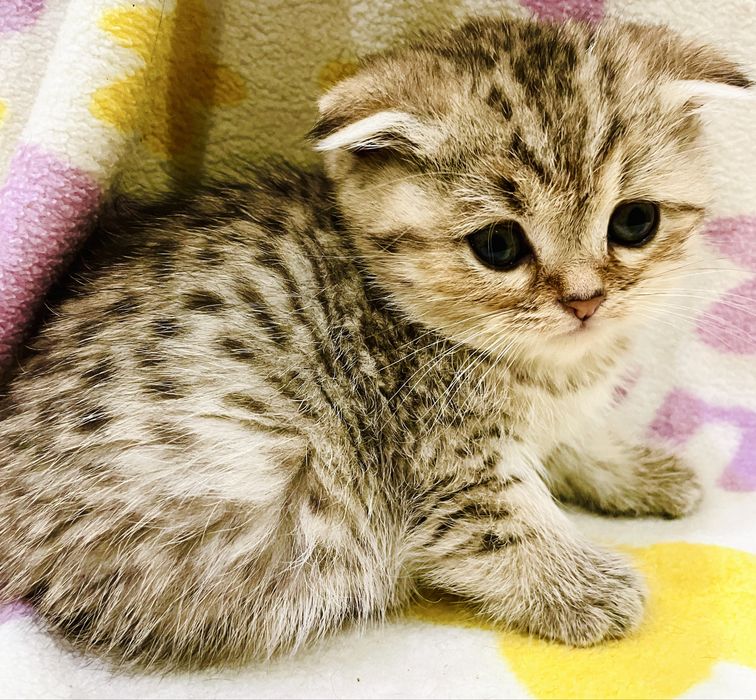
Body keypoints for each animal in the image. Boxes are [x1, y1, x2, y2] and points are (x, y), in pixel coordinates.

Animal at [0, 16, 750, 670]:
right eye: (499, 245)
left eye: (634, 222)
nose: (585, 300)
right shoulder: (439, 459)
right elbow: (500, 524)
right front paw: (582, 586)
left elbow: (575, 441)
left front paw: (633, 471)